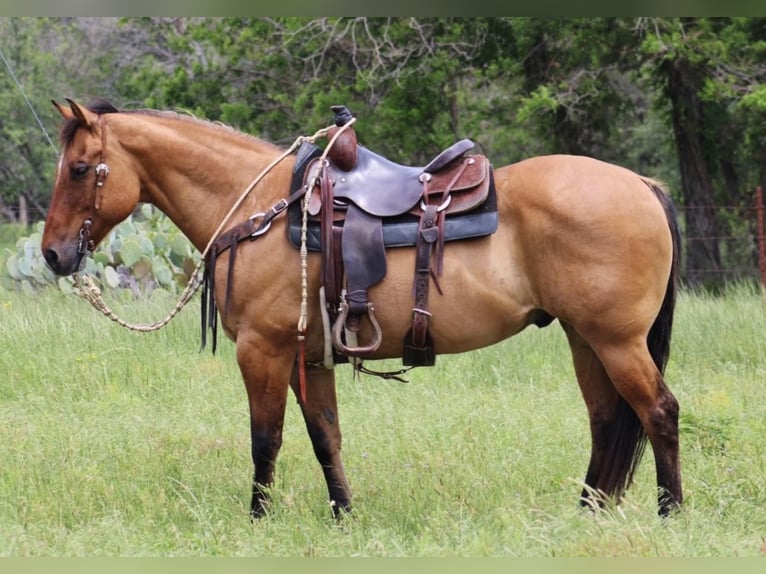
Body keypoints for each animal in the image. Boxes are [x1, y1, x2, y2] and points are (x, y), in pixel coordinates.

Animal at [40, 99, 684, 520]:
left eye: (79, 169)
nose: (51, 254)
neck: (263, 208)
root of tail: (642, 185)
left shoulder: (262, 350)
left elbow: (265, 438)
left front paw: (258, 520)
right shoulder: (309, 357)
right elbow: (325, 436)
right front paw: (343, 515)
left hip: (616, 341)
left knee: (659, 412)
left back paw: (669, 512)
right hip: (585, 339)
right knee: (606, 420)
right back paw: (587, 512)